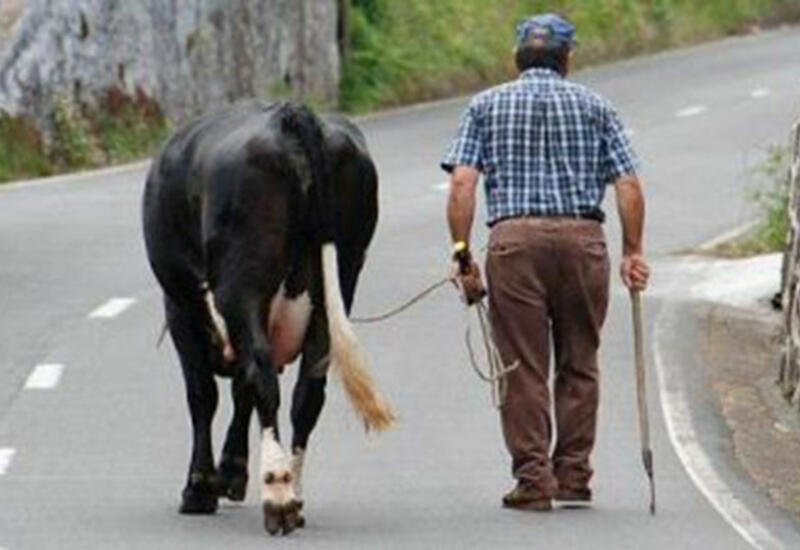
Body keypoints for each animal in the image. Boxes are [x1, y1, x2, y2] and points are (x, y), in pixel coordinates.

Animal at [142, 101, 395, 536]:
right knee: (308, 390)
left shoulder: (181, 306)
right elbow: (240, 391)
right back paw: (294, 492)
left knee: (260, 373)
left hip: (241, 281)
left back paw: (278, 497)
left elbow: (203, 395)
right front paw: (231, 473)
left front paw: (200, 488)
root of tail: (288, 114)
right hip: (339, 277)